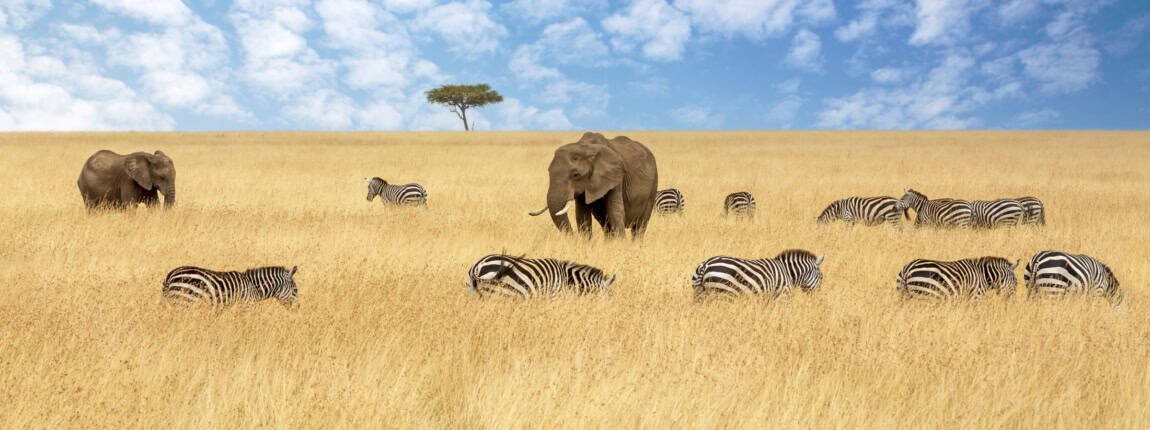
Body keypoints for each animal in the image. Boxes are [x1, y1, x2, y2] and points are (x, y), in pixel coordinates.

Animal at [163, 265, 299, 308]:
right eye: (295, 290)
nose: (298, 308)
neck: (254, 287)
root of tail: (171, 276)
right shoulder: (246, 306)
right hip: (185, 302)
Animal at [528, 132, 658, 239]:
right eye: (549, 171)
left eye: (575, 175)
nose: (573, 238)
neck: (586, 148)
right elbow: (582, 215)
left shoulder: (616, 175)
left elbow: (615, 211)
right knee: (605, 224)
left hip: (653, 185)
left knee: (640, 226)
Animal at [690, 250, 825, 301]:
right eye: (821, 277)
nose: (818, 298)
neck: (788, 273)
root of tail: (705, 265)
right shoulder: (782, 295)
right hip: (724, 294)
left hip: (700, 294)